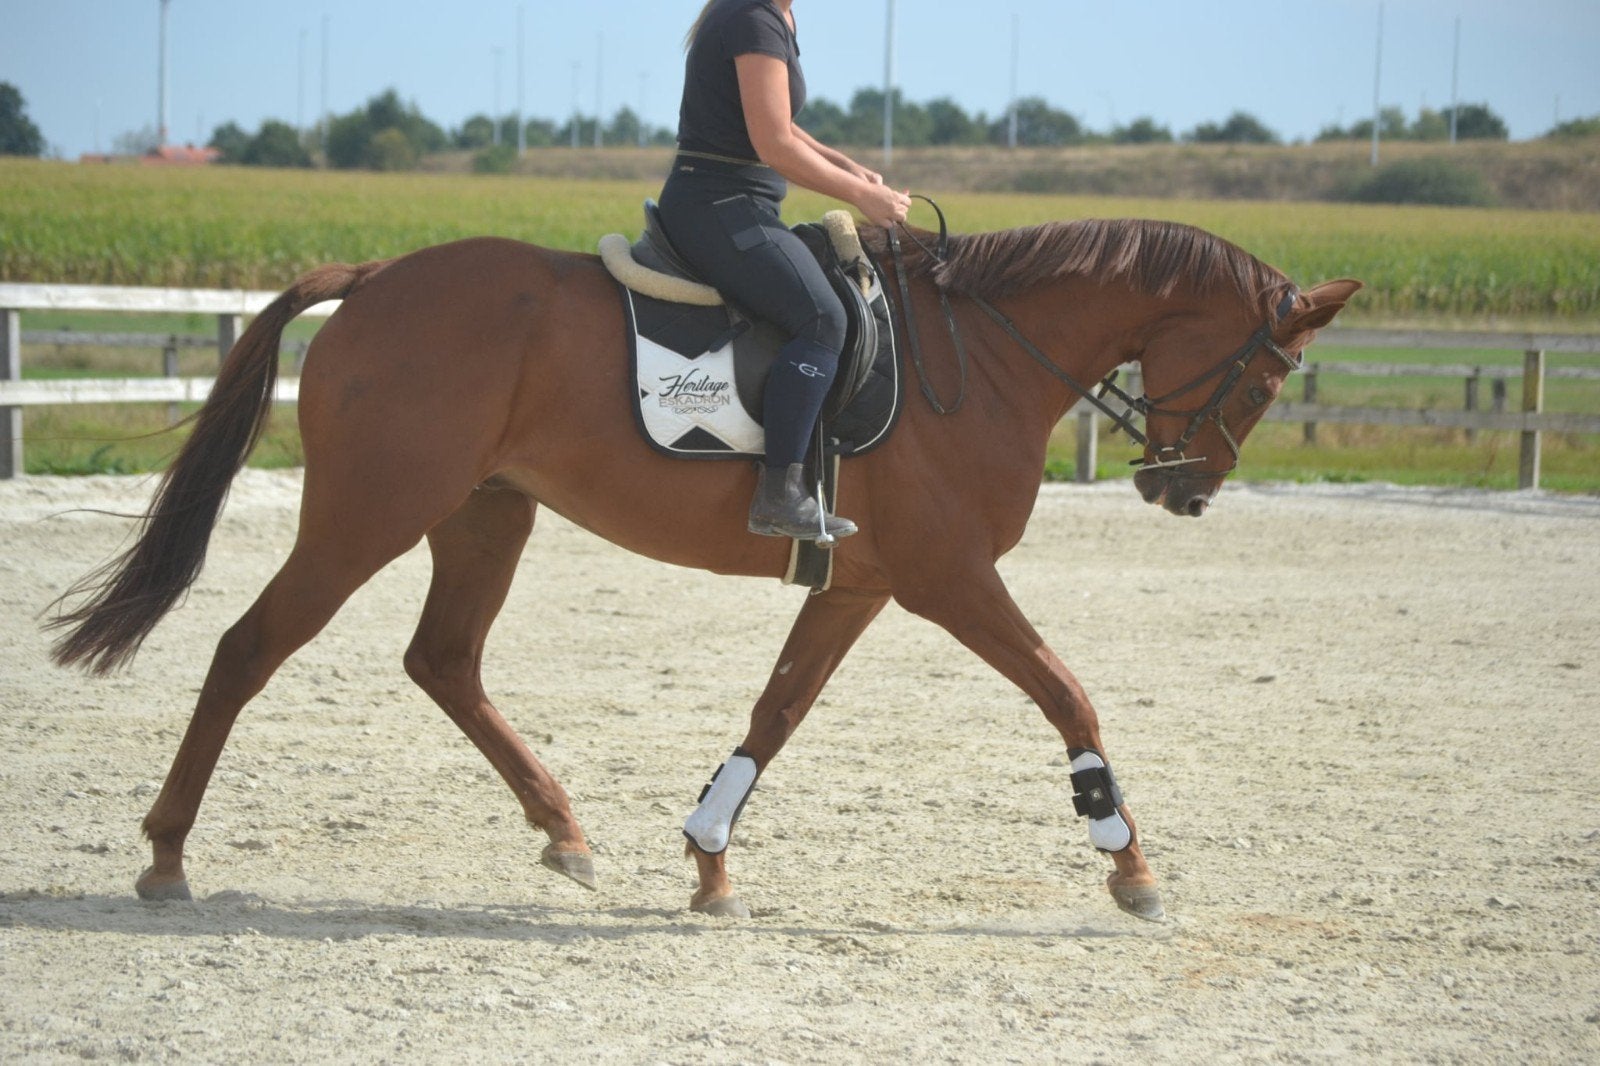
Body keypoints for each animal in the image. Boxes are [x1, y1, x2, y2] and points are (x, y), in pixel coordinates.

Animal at [46, 214, 1359, 922]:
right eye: (1268, 375)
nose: (1182, 489)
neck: (983, 357)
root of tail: (373, 278)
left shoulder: (863, 584)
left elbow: (776, 712)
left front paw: (710, 860)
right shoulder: (948, 580)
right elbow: (1069, 694)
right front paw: (1126, 861)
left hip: (483, 515)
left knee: (444, 661)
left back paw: (564, 830)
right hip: (369, 512)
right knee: (247, 649)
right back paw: (165, 854)